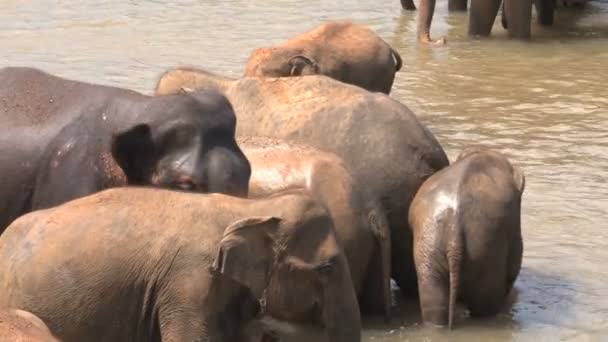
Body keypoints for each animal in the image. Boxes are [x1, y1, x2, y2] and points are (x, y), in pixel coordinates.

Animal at [406, 148, 524, 328]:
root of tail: (454, 234)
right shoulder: (513, 220)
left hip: (429, 249)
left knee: (434, 300)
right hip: (484, 250)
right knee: (484, 305)